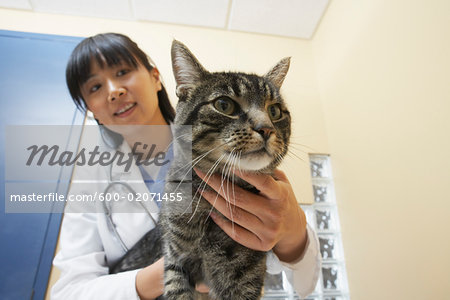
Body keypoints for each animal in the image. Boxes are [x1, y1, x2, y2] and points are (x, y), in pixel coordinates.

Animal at [112, 40, 292, 300]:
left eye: (275, 111)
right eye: (224, 105)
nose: (266, 128)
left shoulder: (246, 272)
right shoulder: (175, 259)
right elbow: (176, 290)